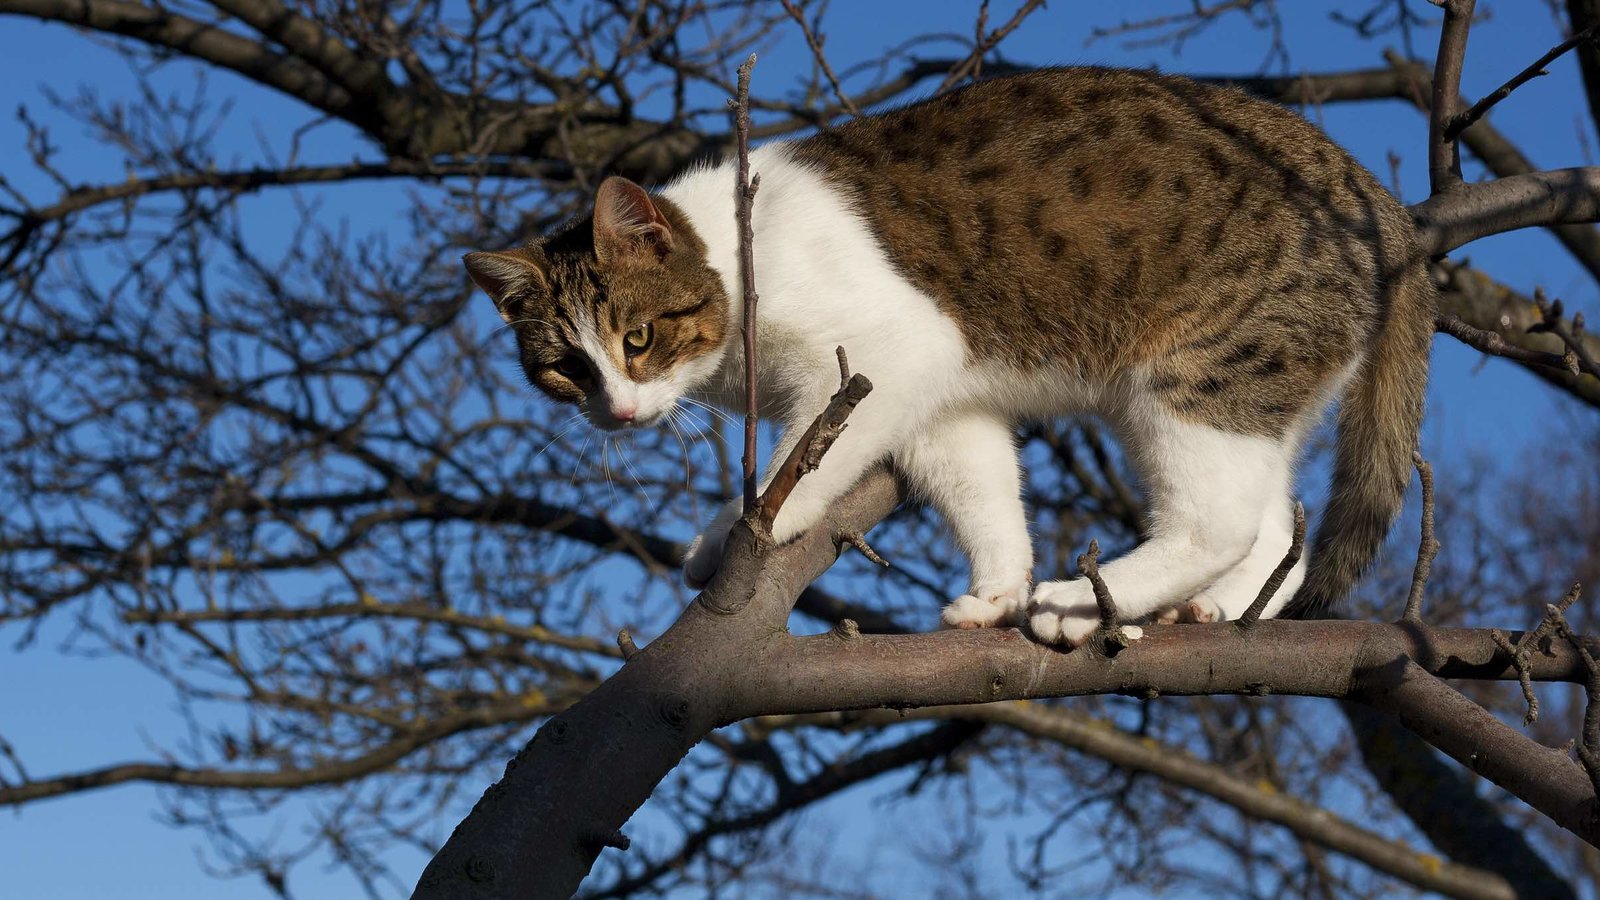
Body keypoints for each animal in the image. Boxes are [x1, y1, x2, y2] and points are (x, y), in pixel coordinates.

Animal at [464, 68, 1440, 643]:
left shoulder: (886, 352)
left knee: (1221, 520)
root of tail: (1375, 195)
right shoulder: (944, 398)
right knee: (1278, 531)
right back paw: (1217, 605)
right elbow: (983, 492)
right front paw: (999, 589)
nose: (619, 411)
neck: (741, 260)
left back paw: (1082, 603)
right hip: (1260, 390)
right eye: (565, 368)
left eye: (635, 340)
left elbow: (798, 462)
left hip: (1195, 375)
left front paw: (743, 526)